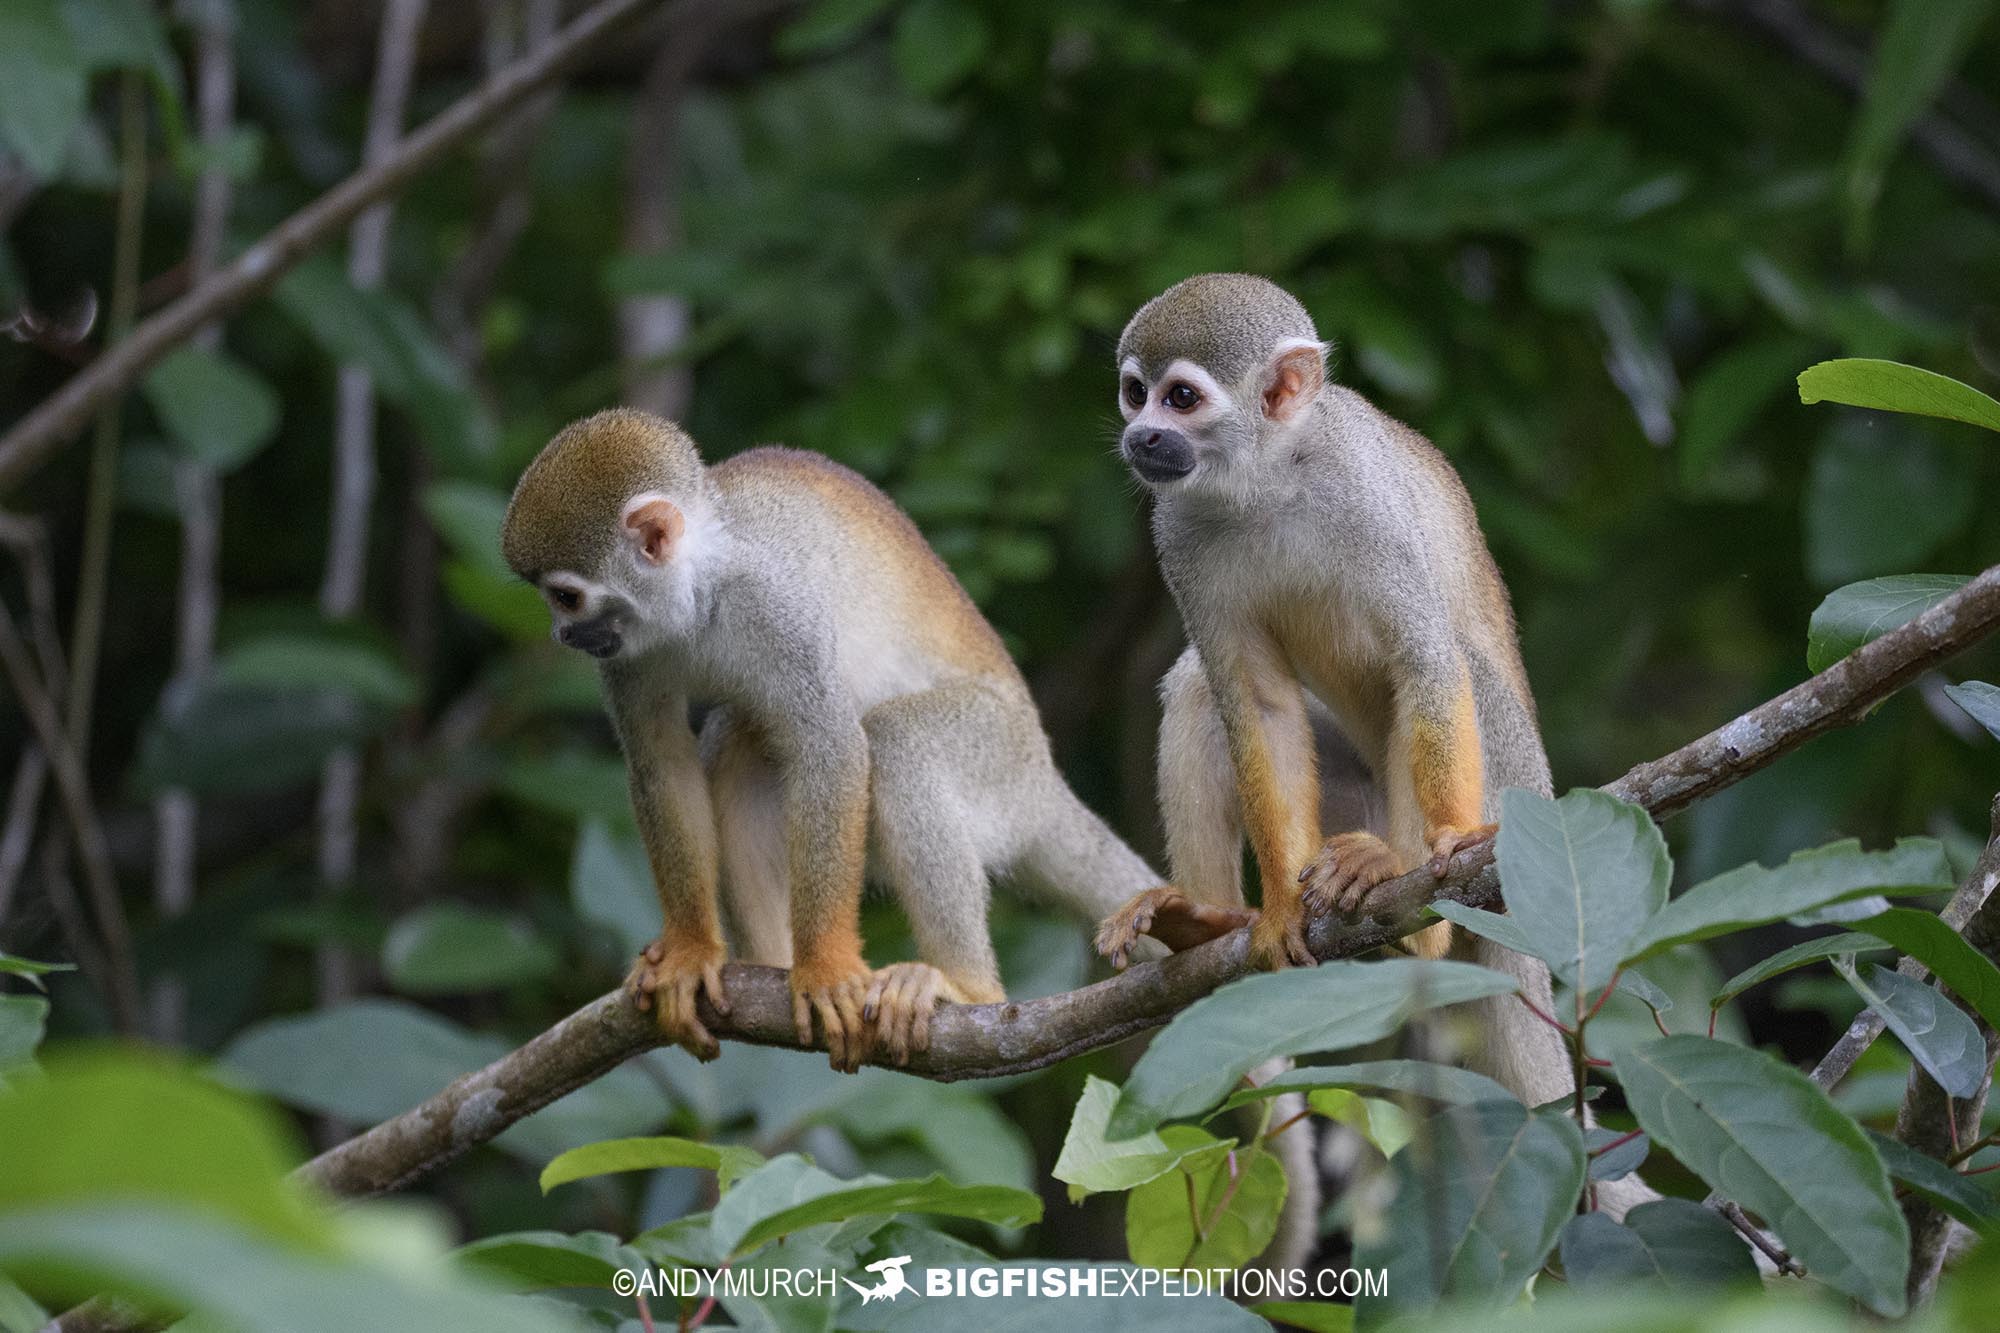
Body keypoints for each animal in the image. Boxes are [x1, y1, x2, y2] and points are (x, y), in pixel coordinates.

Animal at [500, 408, 1168, 1072]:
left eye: (565, 596)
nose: (562, 635)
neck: (698, 593)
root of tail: (1044, 777)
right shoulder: (627, 654)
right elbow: (661, 762)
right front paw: (690, 949)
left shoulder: (775, 607)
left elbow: (832, 747)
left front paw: (824, 967)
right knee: (737, 742)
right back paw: (769, 961)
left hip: (1002, 761)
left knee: (897, 741)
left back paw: (966, 988)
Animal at [1088, 274, 1584, 1112]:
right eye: (1134, 393)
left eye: (1181, 398)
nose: (1142, 437)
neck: (1269, 476)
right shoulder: (1176, 530)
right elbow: (1256, 703)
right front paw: (1280, 908)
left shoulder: (1364, 495)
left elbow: (1424, 660)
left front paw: (1448, 836)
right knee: (1197, 687)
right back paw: (1200, 919)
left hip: (1516, 794)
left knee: (1457, 669)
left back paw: (1406, 890)